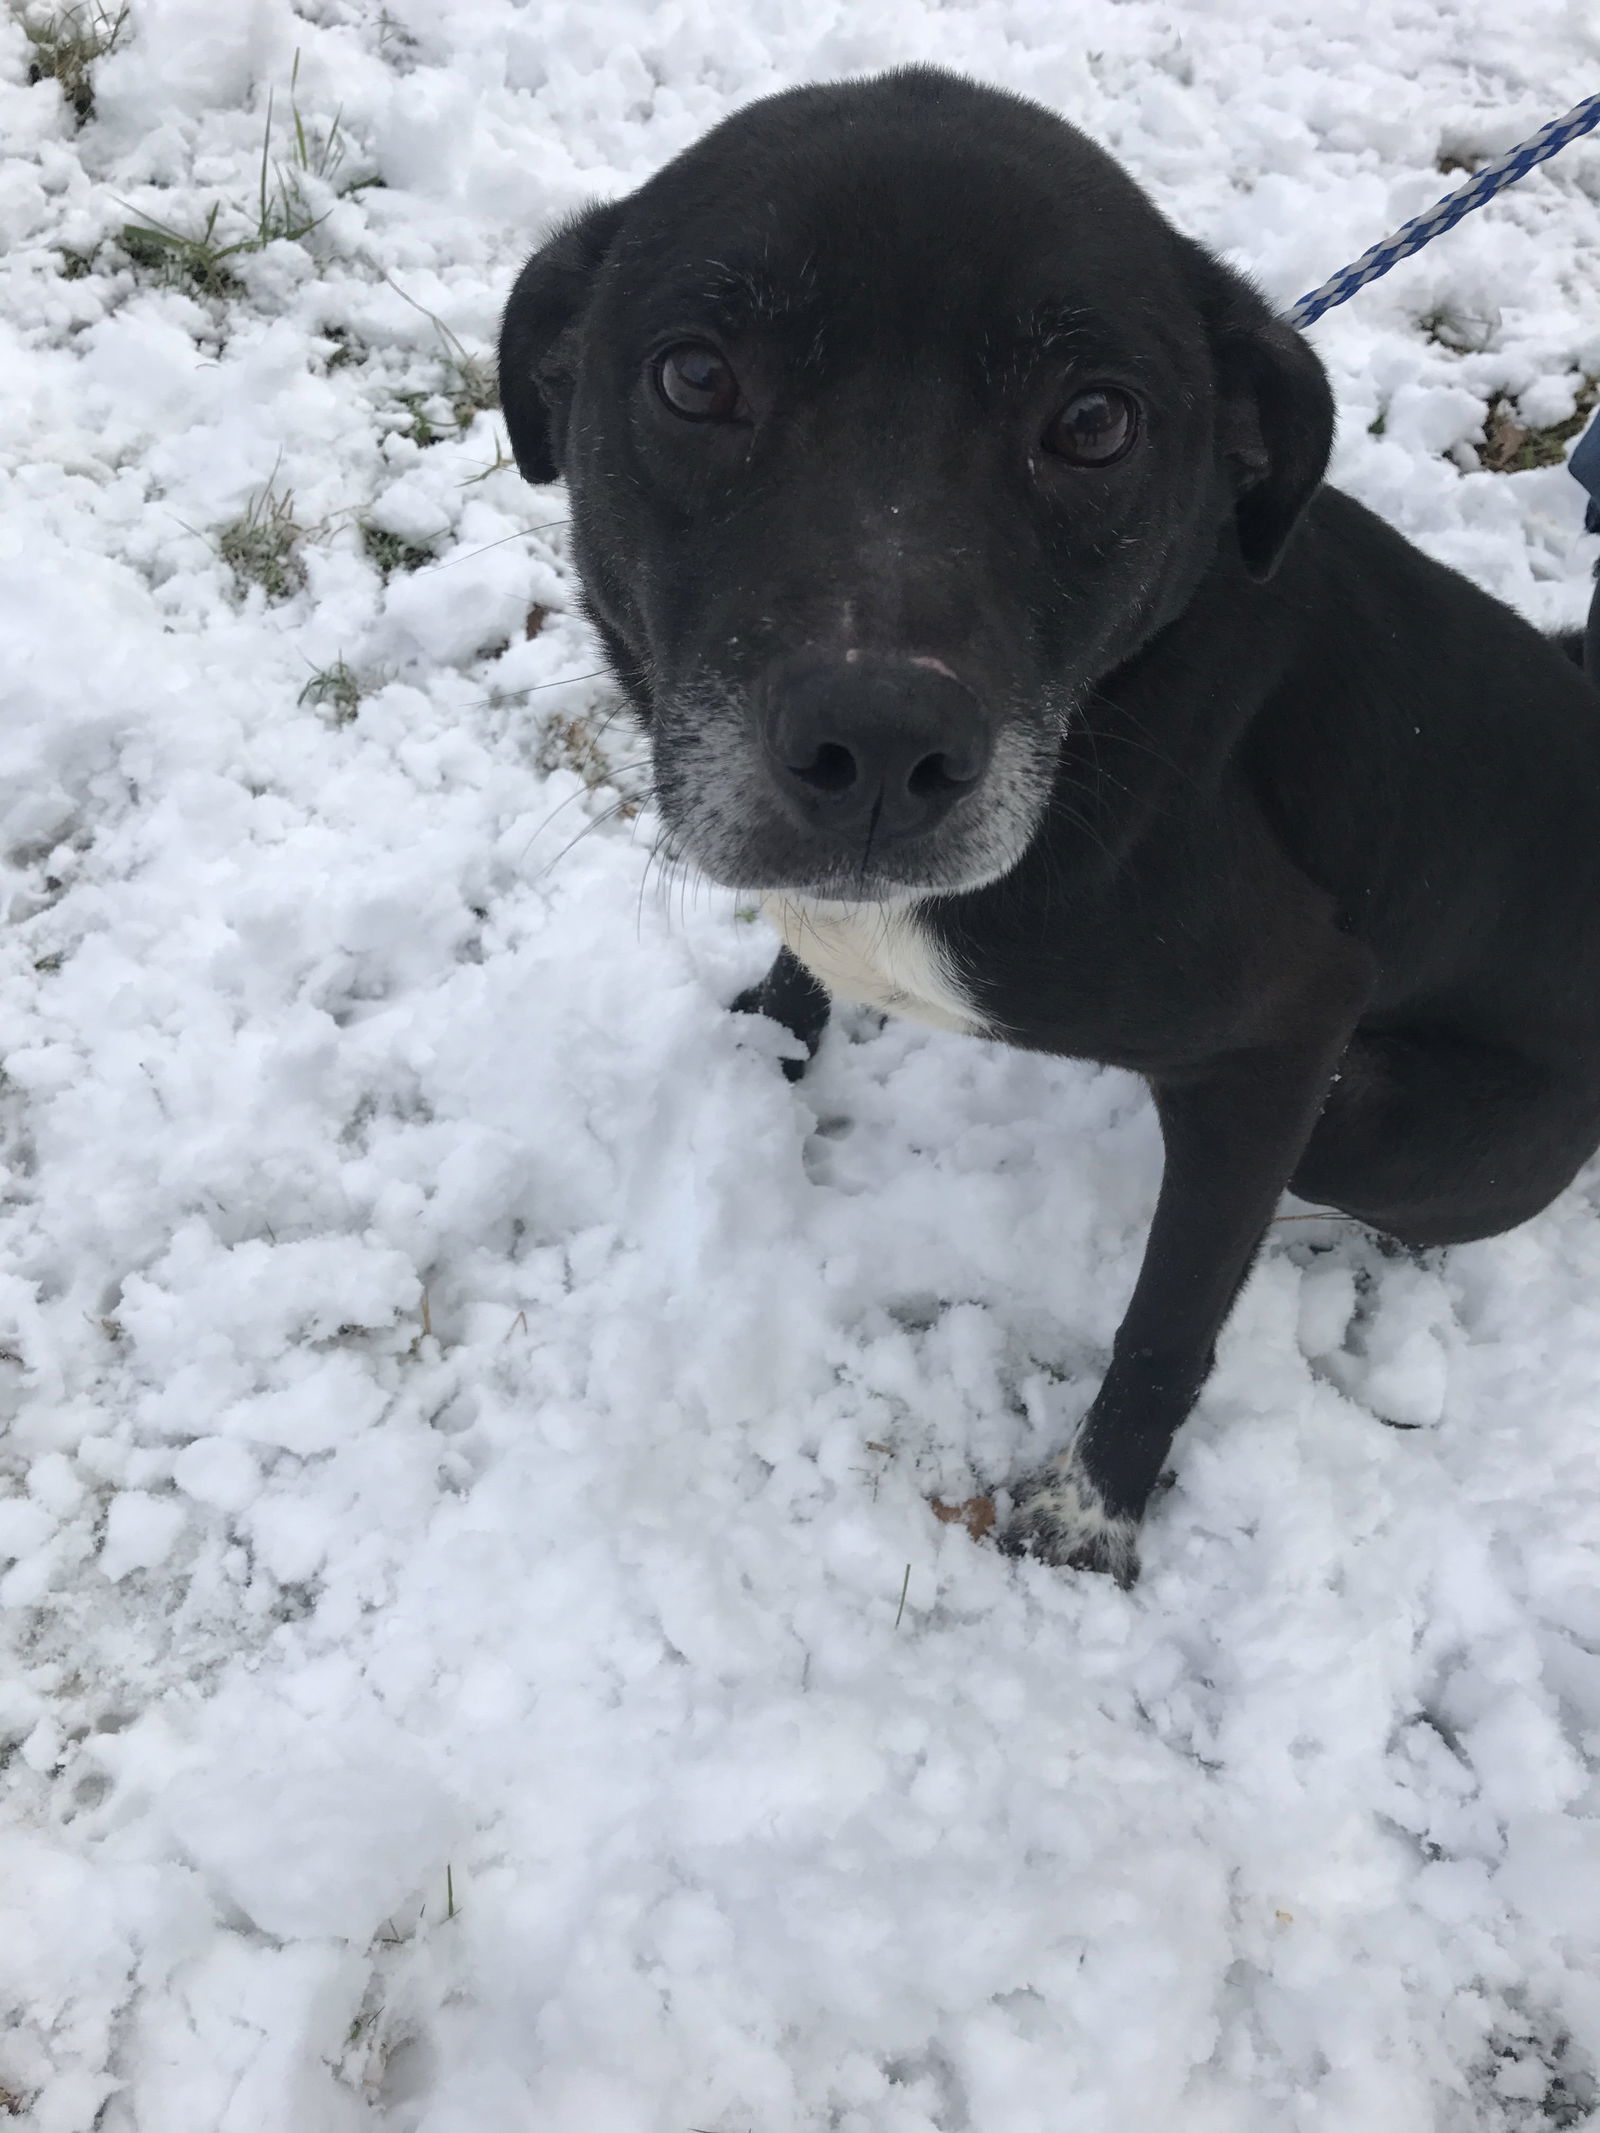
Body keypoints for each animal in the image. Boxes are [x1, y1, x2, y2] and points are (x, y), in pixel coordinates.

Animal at [499, 66, 1600, 1586]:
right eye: (696, 377)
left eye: (1094, 423)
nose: (880, 746)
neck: (1102, 719)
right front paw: (762, 1052)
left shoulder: (1295, 1019)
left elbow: (1175, 1310)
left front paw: (1094, 1512)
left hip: (1375, 1114)